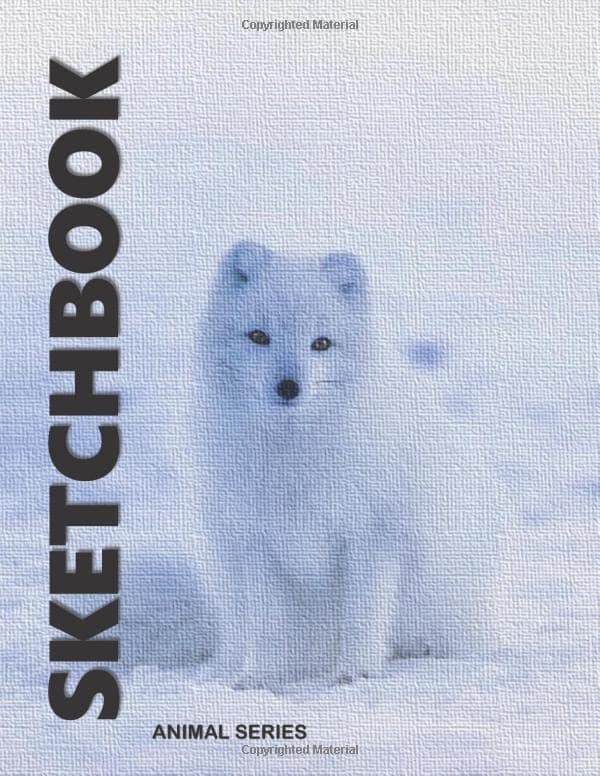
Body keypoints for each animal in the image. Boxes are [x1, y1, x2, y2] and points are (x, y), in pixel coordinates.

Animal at [198, 241, 425, 689]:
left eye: (321, 343)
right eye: (259, 336)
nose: (289, 387)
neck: (293, 457)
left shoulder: (369, 537)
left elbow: (361, 613)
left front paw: (356, 671)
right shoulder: (257, 544)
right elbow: (265, 623)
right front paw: (258, 677)